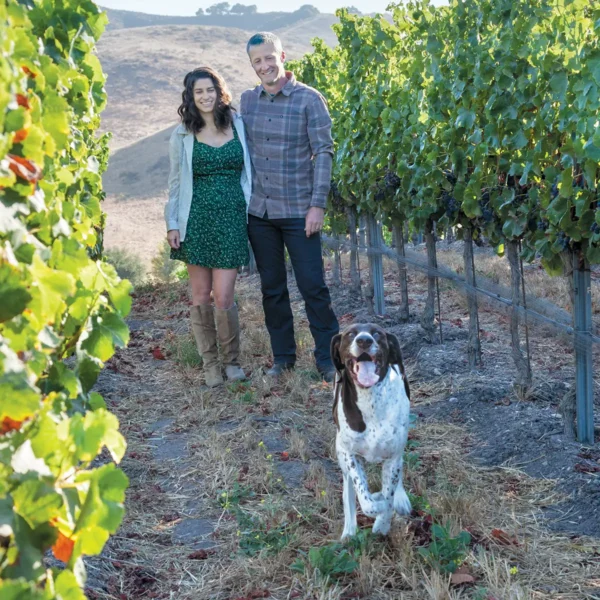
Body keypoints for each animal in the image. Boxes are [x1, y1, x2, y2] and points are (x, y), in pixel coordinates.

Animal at [330, 324, 410, 540]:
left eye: (377, 334)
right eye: (350, 334)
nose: (364, 340)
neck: (371, 399)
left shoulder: (392, 456)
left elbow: (390, 493)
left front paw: (383, 523)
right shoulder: (350, 455)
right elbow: (366, 500)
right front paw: (377, 503)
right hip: (340, 450)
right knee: (348, 487)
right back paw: (349, 529)